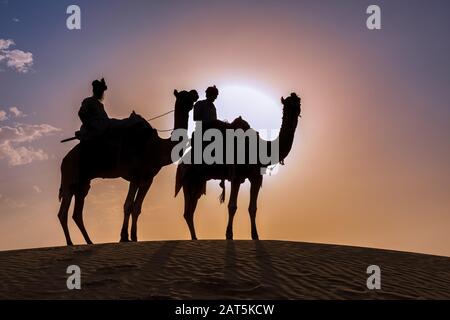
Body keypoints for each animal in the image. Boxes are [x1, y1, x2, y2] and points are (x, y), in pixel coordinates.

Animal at [57, 89, 198, 245]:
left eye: (190, 95)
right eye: (183, 96)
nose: (195, 94)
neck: (155, 147)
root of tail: (64, 160)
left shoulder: (148, 179)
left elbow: (137, 208)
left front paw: (134, 237)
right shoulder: (135, 176)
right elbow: (128, 205)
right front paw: (124, 237)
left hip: (83, 183)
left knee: (76, 213)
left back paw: (89, 241)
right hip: (70, 178)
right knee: (63, 212)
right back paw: (70, 243)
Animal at [174, 92, 300, 240]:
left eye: (298, 102)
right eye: (287, 105)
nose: (295, 111)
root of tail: (182, 162)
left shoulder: (256, 177)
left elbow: (253, 208)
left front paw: (255, 235)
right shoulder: (236, 176)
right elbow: (232, 206)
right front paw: (229, 235)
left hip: (197, 182)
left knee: (190, 209)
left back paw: (195, 238)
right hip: (188, 179)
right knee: (188, 211)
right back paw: (195, 238)